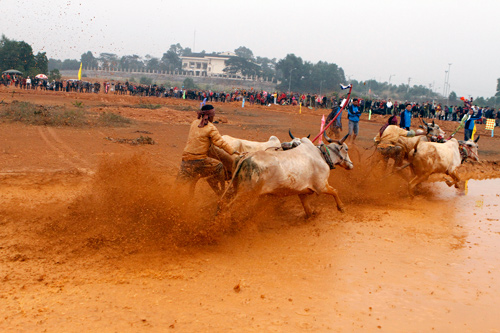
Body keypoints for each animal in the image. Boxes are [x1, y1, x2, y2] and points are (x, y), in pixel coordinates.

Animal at [221, 135, 354, 218]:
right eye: (347, 149)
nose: (351, 165)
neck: (321, 155)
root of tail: (245, 157)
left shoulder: (303, 192)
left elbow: (308, 210)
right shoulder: (321, 187)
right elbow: (335, 192)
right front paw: (341, 208)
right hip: (245, 194)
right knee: (227, 208)